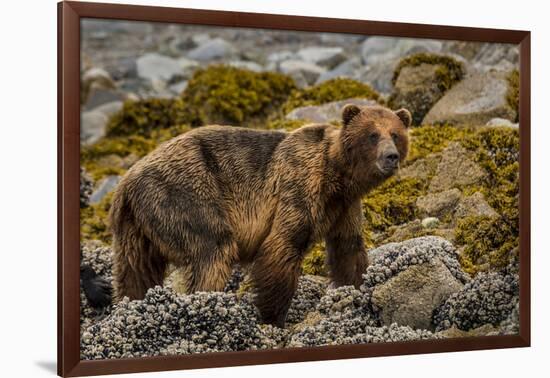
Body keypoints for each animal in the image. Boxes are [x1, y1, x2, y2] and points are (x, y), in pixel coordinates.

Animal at [110, 105, 412, 326]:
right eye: (372, 135)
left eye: (395, 134)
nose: (390, 156)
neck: (337, 176)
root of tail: (126, 184)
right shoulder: (299, 188)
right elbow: (282, 247)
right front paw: (273, 317)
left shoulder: (343, 208)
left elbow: (348, 250)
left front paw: (359, 291)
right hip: (186, 194)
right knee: (213, 251)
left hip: (135, 229)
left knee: (136, 272)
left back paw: (130, 305)